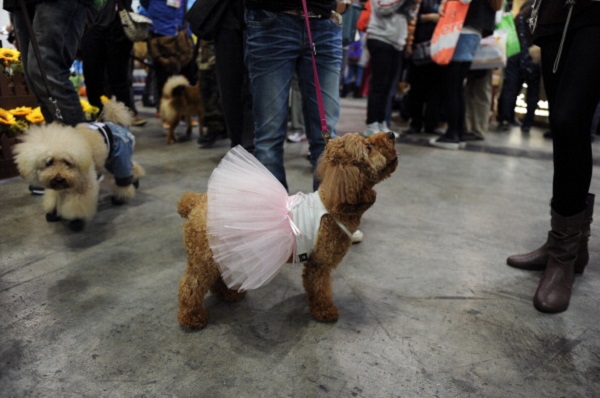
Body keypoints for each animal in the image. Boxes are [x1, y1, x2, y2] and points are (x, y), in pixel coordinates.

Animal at [14, 97, 145, 232]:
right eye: (49, 162)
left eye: (67, 162)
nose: (59, 178)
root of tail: (116, 123)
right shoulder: (58, 188)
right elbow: (54, 197)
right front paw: (53, 212)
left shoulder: (82, 187)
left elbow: (77, 205)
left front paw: (76, 220)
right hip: (109, 160)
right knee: (132, 168)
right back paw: (135, 181)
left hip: (119, 156)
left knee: (123, 176)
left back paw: (120, 197)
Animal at [175, 132, 398, 328]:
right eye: (368, 147)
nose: (392, 134)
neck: (334, 205)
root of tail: (196, 202)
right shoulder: (319, 264)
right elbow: (321, 289)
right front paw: (325, 311)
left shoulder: (313, 262)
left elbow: (312, 286)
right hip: (205, 258)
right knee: (191, 285)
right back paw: (191, 317)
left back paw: (229, 295)